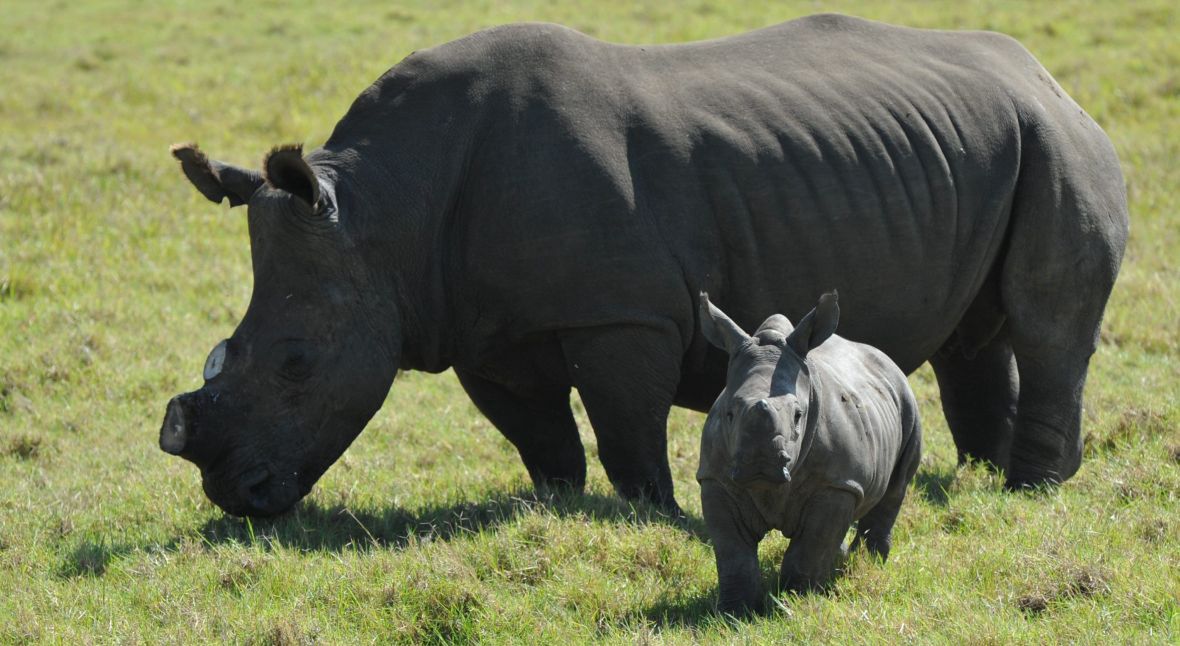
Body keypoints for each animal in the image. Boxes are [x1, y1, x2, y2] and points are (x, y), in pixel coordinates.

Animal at [156, 15, 1123, 517]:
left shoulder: (623, 314)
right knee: (973, 332)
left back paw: (1029, 492)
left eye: (295, 364)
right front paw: (554, 507)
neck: (381, 213)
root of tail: (1048, 76)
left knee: (1048, 323)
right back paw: (978, 477)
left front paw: (653, 511)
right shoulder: (475, 324)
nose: (233, 494)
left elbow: (625, 424)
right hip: (980, 147)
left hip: (1057, 137)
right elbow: (537, 433)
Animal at [698, 292, 920, 618]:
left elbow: (810, 547)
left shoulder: (837, 483)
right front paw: (734, 612)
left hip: (907, 401)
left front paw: (795, 602)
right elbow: (733, 553)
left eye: (798, 416)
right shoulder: (716, 479)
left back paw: (866, 565)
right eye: (729, 414)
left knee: (895, 489)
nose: (760, 463)